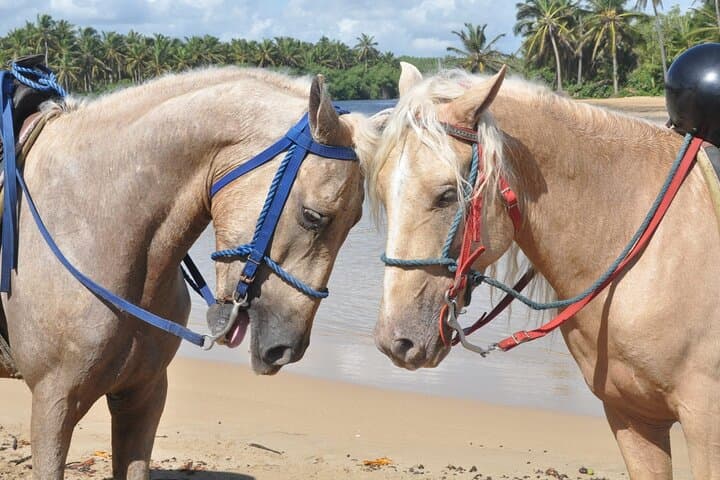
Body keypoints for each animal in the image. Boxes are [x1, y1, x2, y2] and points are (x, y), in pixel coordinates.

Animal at [0, 67, 376, 480]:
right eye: (313, 217)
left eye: (356, 222)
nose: (286, 348)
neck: (88, 219)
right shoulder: (54, 402)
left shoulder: (143, 396)